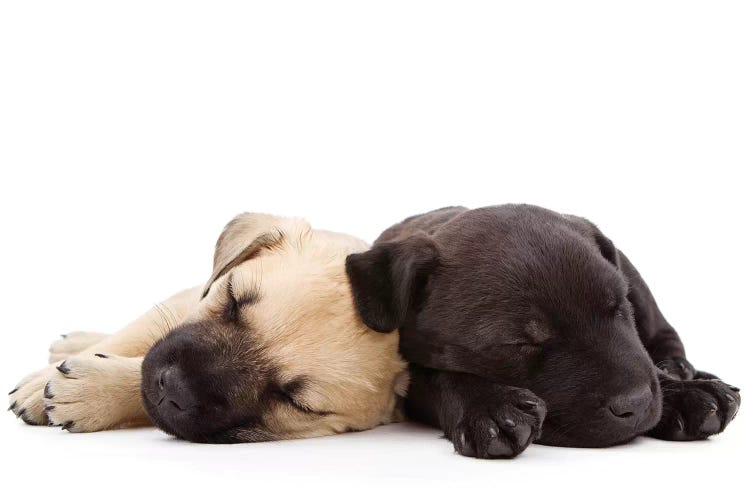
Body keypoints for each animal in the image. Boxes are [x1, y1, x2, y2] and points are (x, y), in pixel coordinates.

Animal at [8, 213, 408, 444]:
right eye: (232, 299)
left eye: (294, 401)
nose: (174, 387)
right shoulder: (184, 304)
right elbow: (135, 338)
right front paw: (38, 386)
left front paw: (94, 390)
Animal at [350, 205, 744, 458]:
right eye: (521, 342)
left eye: (619, 306)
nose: (636, 403)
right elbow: (435, 376)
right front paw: (490, 406)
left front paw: (685, 394)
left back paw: (682, 371)